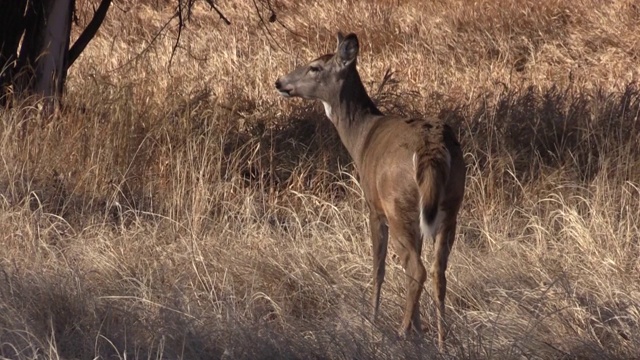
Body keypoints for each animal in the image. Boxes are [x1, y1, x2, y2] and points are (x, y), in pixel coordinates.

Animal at [274, 32, 464, 350]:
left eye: (315, 67)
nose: (280, 82)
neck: (361, 137)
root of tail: (432, 148)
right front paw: (419, 330)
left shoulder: (374, 208)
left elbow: (378, 267)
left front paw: (374, 323)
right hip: (449, 207)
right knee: (438, 270)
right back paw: (441, 340)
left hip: (398, 205)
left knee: (417, 269)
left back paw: (400, 333)